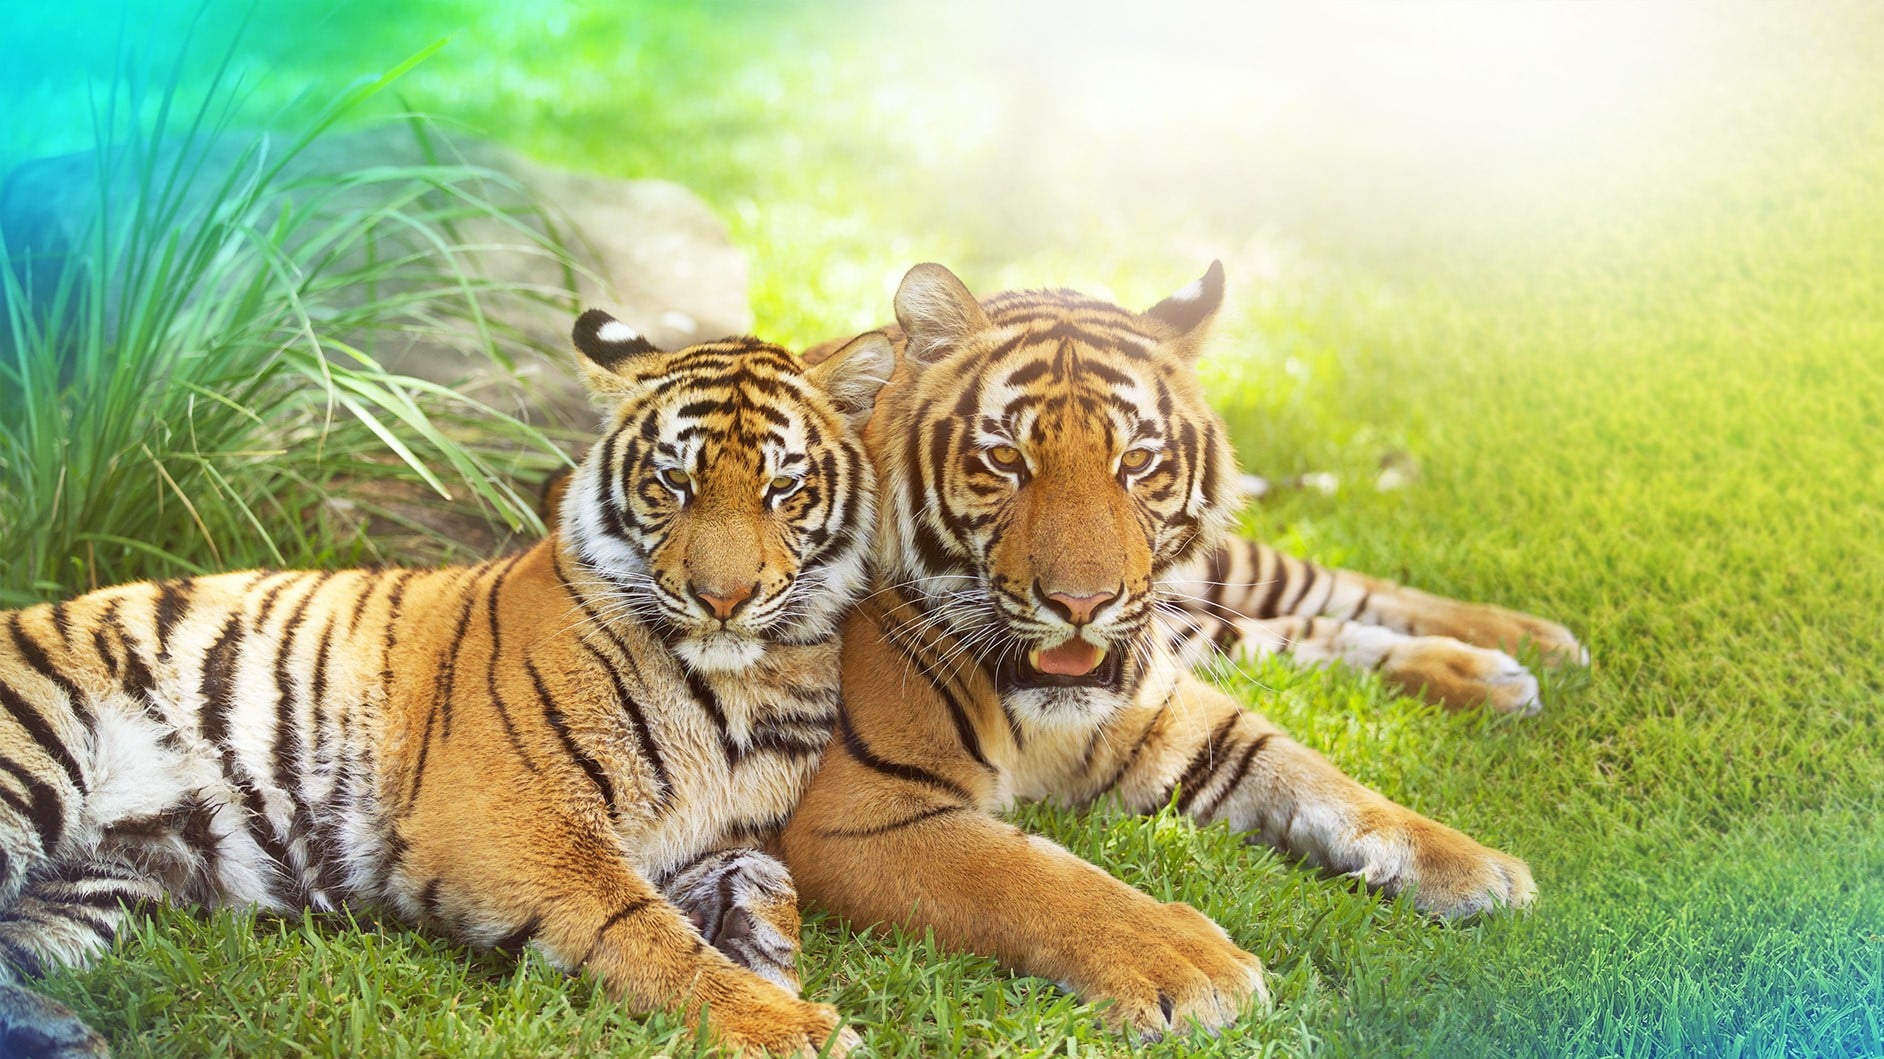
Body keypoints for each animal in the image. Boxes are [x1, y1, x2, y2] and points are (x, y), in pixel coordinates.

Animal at [0, 311, 893, 1058]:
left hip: (101, 879)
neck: (745, 683)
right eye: (674, 483)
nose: (722, 599)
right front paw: (792, 1023)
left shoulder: (712, 837)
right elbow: (645, 930)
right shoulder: (513, 821)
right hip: (33, 762)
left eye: (783, 488)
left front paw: (769, 955)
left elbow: (770, 886)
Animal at [778, 261, 1567, 1041]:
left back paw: (1526, 643)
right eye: (1005, 458)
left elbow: (1319, 777)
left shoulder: (1175, 717)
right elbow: (1030, 874)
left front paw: (1473, 864)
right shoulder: (855, 812)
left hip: (1218, 576)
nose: (1081, 604)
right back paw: (1493, 669)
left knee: (1328, 584)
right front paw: (1188, 963)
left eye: (1136, 460)